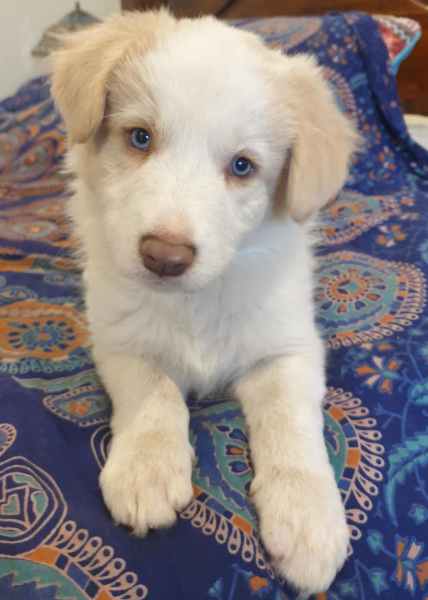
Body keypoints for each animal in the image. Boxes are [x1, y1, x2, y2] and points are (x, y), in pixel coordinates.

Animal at [52, 10, 358, 596]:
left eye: (242, 166)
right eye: (140, 137)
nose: (164, 257)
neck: (194, 302)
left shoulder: (289, 348)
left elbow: (289, 422)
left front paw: (308, 518)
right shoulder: (117, 339)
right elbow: (154, 395)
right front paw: (146, 470)